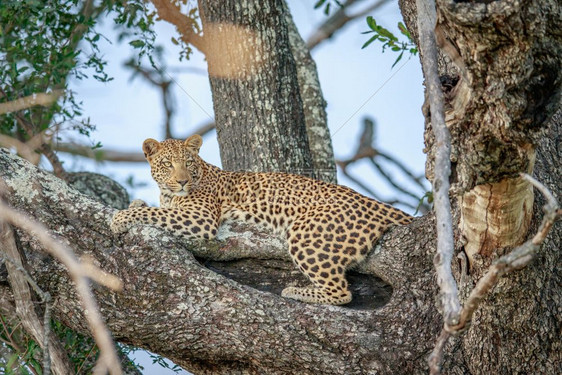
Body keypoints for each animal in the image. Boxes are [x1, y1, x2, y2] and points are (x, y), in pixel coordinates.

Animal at [109, 135, 410, 306]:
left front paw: (119, 218)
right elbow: (153, 208)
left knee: (341, 294)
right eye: (167, 164)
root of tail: (375, 203)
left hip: (306, 234)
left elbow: (154, 213)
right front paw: (133, 204)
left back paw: (295, 291)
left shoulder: (200, 217)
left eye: (188, 163)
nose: (182, 181)